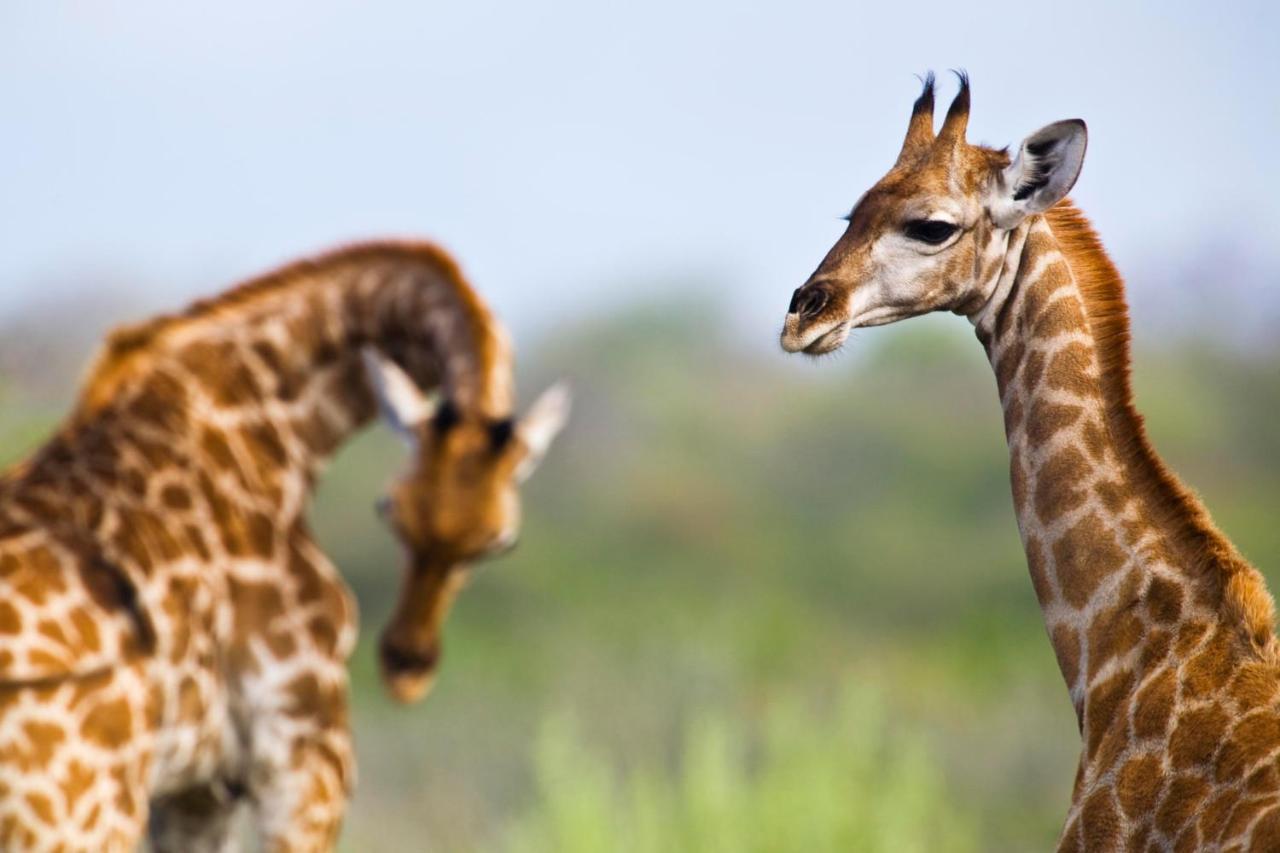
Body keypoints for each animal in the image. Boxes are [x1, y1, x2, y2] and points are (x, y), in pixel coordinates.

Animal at [0, 240, 570, 850]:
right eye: (389, 510)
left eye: (498, 542)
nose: (406, 666)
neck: (265, 424)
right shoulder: (305, 752)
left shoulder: (198, 788)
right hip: (84, 810)